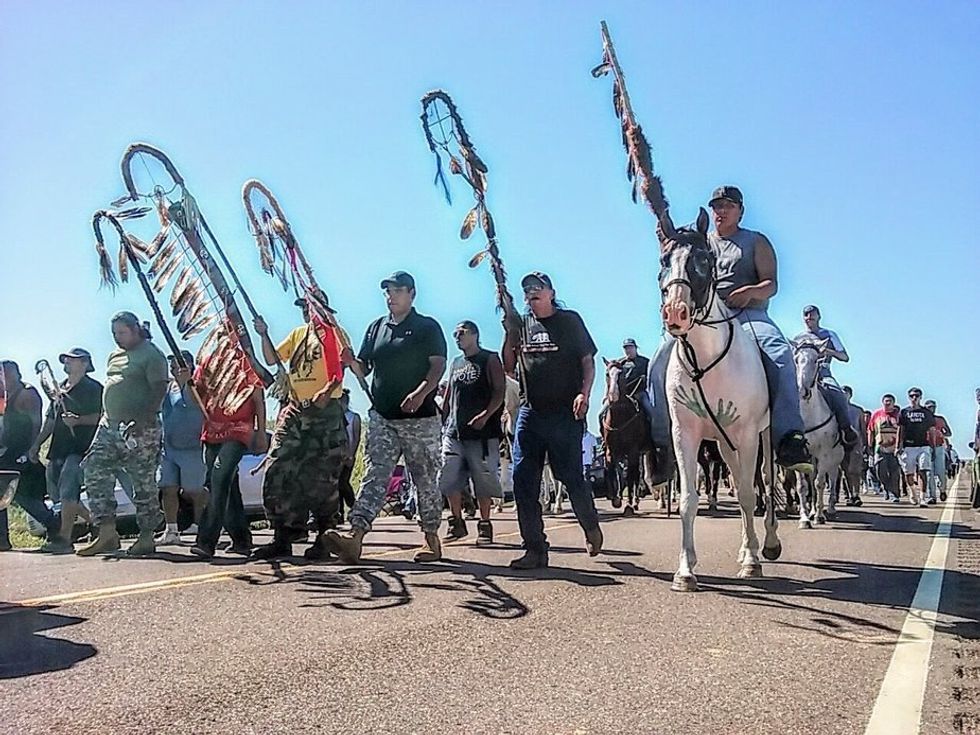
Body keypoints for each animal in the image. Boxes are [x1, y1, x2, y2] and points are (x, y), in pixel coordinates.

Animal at [660, 211, 780, 592]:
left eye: (703, 260)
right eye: (664, 260)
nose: (675, 313)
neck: (706, 360)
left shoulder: (748, 433)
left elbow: (749, 494)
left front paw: (753, 563)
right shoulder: (685, 433)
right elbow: (688, 499)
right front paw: (685, 571)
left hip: (763, 437)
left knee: (763, 485)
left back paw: (765, 546)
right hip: (725, 445)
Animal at [788, 340, 844, 528]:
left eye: (816, 361)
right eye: (796, 360)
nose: (801, 391)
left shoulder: (825, 453)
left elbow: (820, 483)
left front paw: (819, 516)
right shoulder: (799, 455)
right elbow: (803, 486)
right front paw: (805, 518)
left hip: (835, 458)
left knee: (833, 478)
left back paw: (831, 508)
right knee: (812, 479)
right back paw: (812, 511)